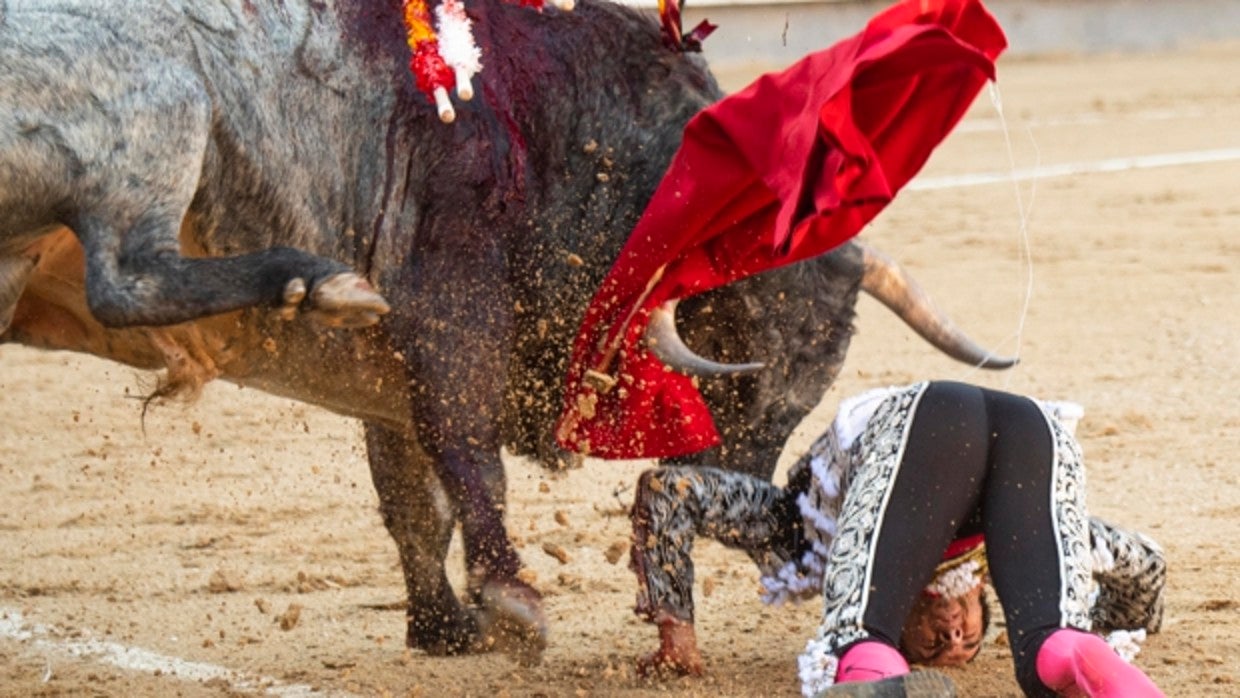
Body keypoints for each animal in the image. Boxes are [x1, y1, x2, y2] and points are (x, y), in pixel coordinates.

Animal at [0, 0, 1006, 664]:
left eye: (814, 383)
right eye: (739, 361)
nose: (741, 505)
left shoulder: (393, 382)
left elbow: (414, 500)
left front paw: (444, 627)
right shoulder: (450, 314)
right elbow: (468, 460)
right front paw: (511, 600)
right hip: (163, 112)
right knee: (126, 275)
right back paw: (315, 281)